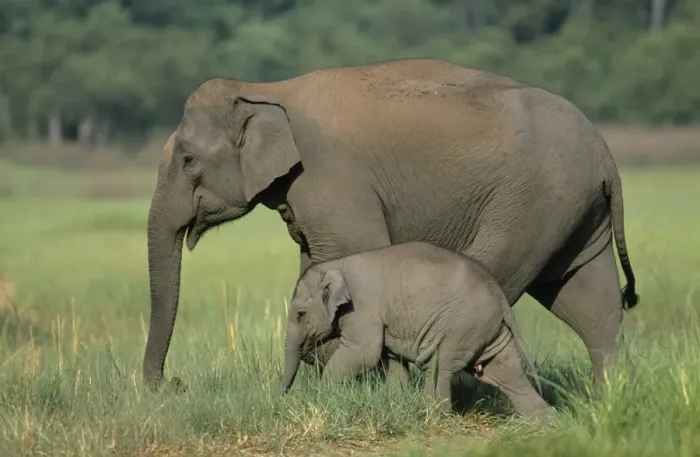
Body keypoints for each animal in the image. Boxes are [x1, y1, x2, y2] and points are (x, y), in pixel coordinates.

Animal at [143, 57, 638, 391]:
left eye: (188, 161)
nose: (175, 385)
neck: (263, 88)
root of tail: (607, 157)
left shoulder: (331, 181)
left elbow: (353, 252)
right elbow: (314, 265)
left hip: (531, 201)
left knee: (497, 275)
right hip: (573, 211)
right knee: (590, 301)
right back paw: (605, 400)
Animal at [279, 241, 554, 419]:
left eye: (301, 314)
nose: (281, 398)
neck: (337, 265)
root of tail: (500, 295)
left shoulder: (363, 308)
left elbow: (364, 352)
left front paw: (322, 396)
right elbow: (392, 359)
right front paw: (394, 401)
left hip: (464, 326)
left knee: (441, 364)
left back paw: (435, 413)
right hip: (487, 328)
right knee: (507, 372)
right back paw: (545, 421)